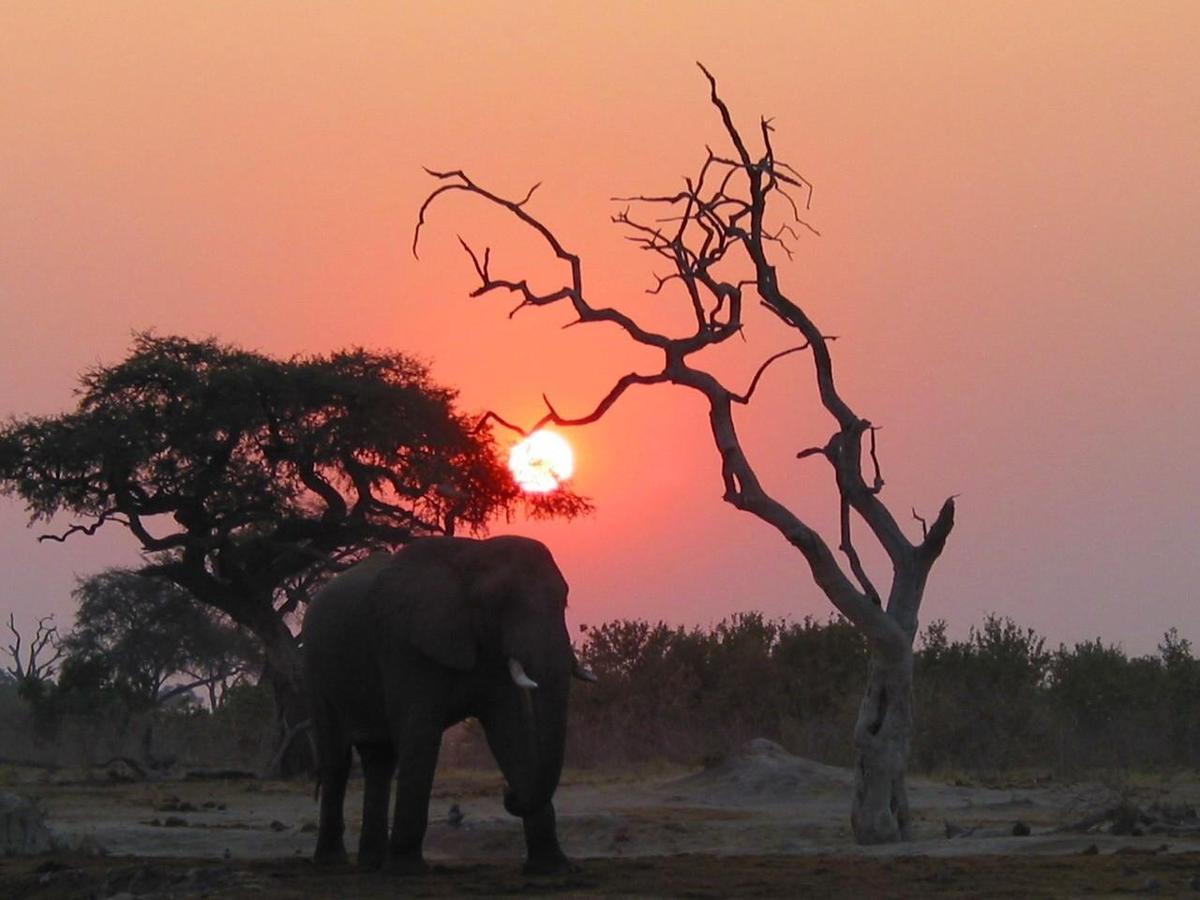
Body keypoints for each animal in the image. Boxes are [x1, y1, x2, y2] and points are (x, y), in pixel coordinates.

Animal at [302, 535, 592, 873]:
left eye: (564, 600)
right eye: (500, 600)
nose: (508, 794)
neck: (471, 556)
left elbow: (511, 732)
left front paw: (551, 867)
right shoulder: (406, 645)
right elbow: (421, 734)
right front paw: (407, 869)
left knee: (379, 760)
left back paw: (372, 864)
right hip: (316, 667)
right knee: (336, 759)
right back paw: (333, 862)